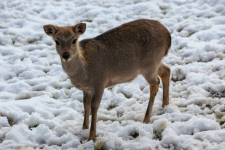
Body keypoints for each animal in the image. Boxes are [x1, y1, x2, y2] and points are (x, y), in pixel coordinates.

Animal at [43, 19, 171, 141]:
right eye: (57, 41)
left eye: (74, 40)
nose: (66, 55)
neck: (84, 73)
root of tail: (168, 35)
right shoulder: (86, 89)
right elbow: (85, 105)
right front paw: (83, 128)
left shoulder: (100, 83)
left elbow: (94, 107)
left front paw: (91, 137)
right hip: (154, 63)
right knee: (166, 70)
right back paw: (165, 104)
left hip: (150, 64)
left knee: (155, 83)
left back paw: (146, 118)